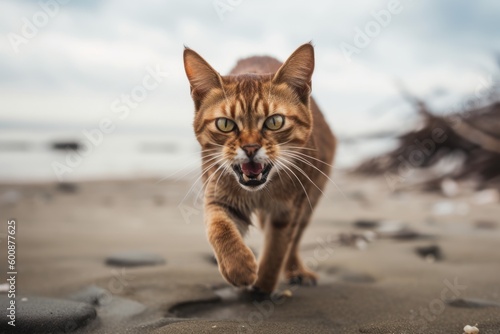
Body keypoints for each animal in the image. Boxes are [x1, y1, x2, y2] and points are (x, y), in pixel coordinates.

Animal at [183, 42, 336, 294]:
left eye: (275, 121)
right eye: (225, 124)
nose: (251, 147)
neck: (261, 192)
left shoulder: (288, 209)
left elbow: (277, 248)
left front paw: (263, 285)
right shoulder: (218, 195)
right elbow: (219, 228)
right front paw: (238, 267)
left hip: (310, 200)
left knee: (294, 241)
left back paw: (296, 271)